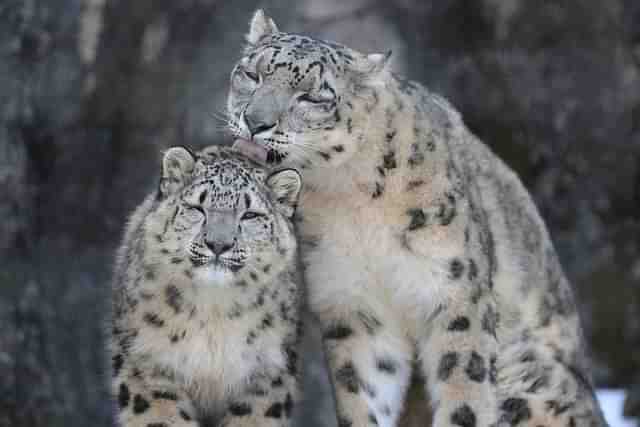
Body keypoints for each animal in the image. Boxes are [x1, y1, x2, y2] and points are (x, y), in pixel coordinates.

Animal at [110, 145, 304, 427]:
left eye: (250, 214)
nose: (218, 244)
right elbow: (163, 417)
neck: (214, 313)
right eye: (197, 207)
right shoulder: (149, 362)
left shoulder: (266, 373)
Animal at [228, 9, 608, 427]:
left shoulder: (454, 292)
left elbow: (464, 390)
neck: (349, 203)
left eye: (312, 96)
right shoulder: (356, 304)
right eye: (252, 74)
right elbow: (364, 392)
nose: (255, 121)